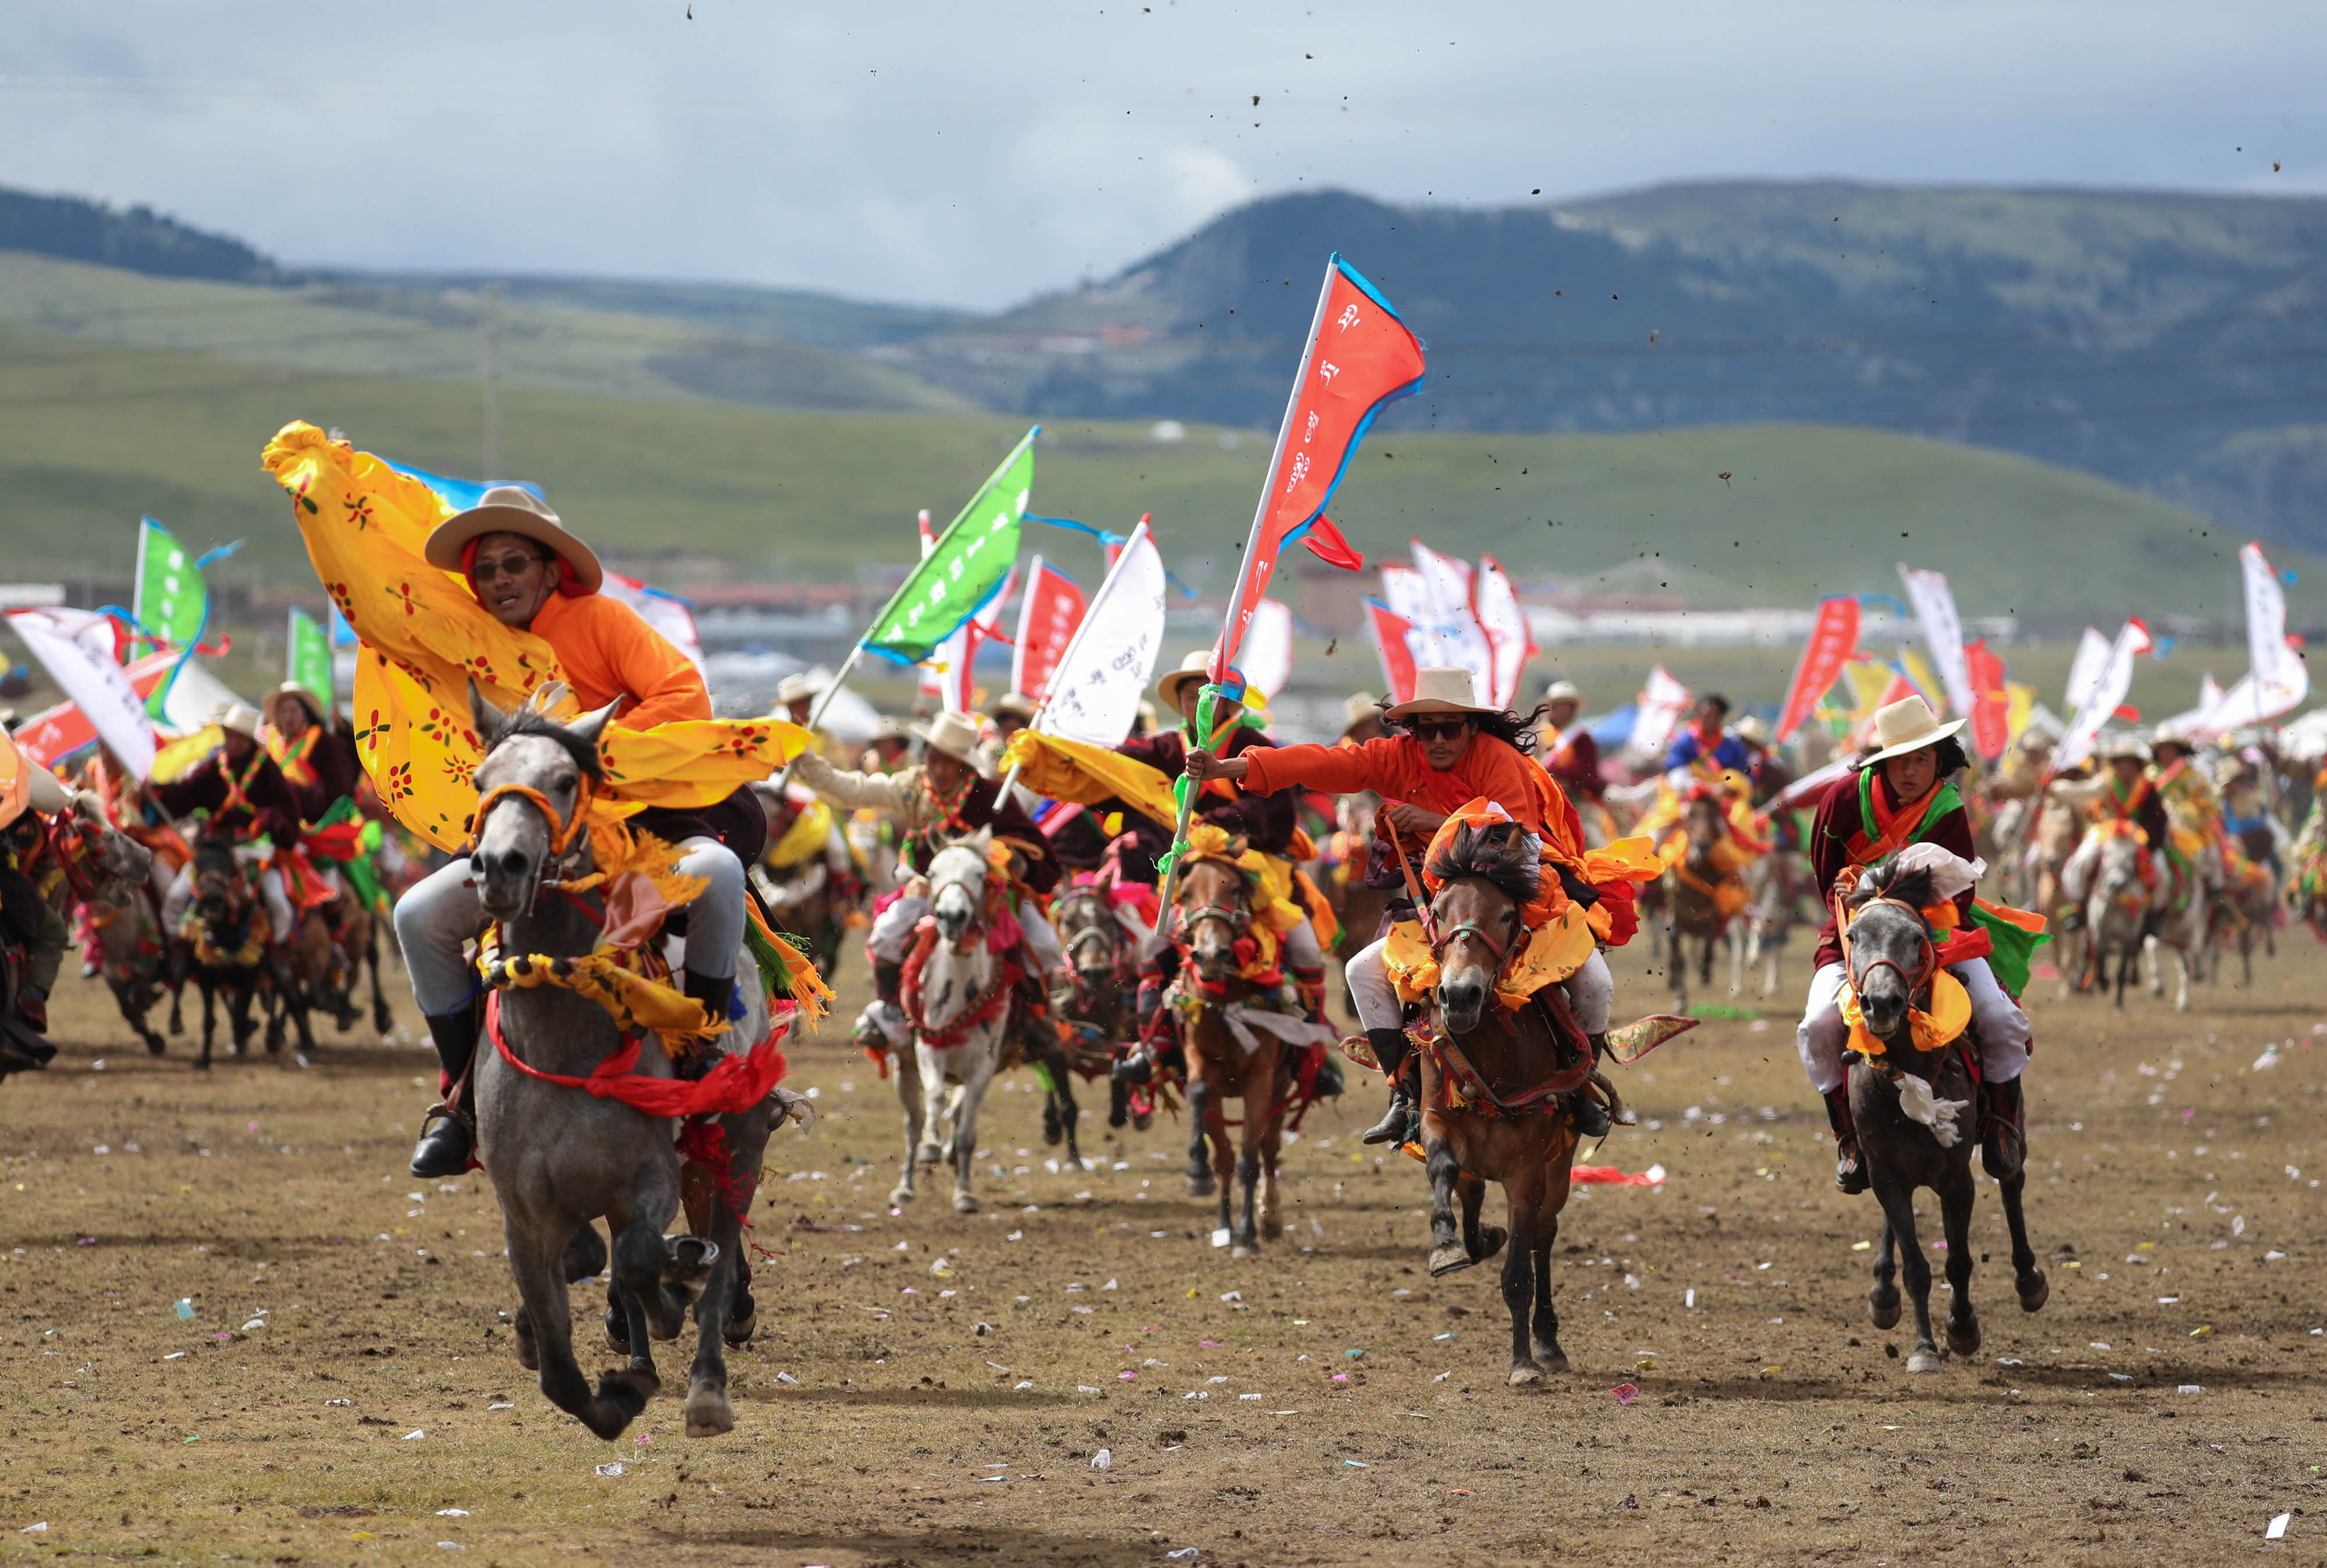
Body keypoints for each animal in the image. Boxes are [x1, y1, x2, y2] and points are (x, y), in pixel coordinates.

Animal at [461, 679, 800, 1433]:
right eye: (481, 780)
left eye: (565, 780)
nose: (500, 866)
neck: (564, 1041)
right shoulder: (523, 1216)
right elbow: (560, 1368)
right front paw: (615, 1391)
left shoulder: (648, 1175)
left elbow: (646, 1261)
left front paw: (677, 1288)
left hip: (740, 1141)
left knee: (717, 1251)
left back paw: (706, 1379)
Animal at [880, 828, 1010, 1210]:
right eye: (933, 871)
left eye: (980, 873)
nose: (952, 916)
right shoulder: (928, 1049)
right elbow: (935, 1098)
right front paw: (931, 1147)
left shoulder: (985, 1065)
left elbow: (967, 1132)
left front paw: (964, 1193)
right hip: (904, 1069)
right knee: (913, 1122)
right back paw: (906, 1186)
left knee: (959, 1111)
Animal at [1406, 814, 1592, 1387]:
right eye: (1438, 911)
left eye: (1508, 913)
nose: (1459, 996)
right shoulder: (1439, 1121)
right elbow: (1441, 1170)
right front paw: (1447, 1248)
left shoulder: (1528, 1170)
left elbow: (1518, 1273)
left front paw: (1524, 1363)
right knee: (1472, 1201)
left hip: (1559, 1166)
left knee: (1543, 1238)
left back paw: (1548, 1341)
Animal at [1843, 856, 2048, 1368]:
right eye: (1853, 936)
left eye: (1917, 937)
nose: (1881, 1003)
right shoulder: (1887, 1173)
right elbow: (1917, 1264)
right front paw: (1924, 1348)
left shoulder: (1956, 1177)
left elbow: (1958, 1260)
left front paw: (1963, 1327)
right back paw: (1883, 1292)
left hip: (2008, 1132)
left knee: (2011, 1180)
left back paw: (2029, 1280)